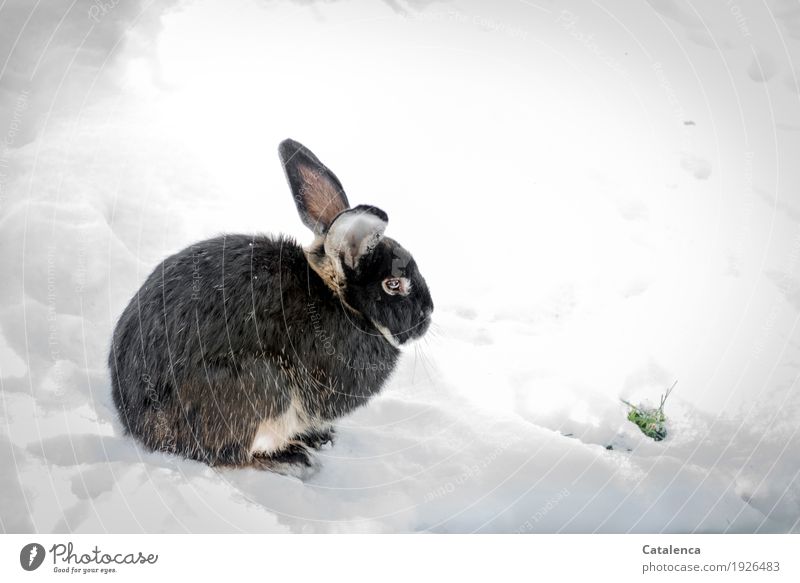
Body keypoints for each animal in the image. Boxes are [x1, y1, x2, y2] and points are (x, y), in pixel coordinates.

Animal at [109, 138, 434, 474]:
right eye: (393, 284)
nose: (428, 315)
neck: (339, 300)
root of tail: (142, 426)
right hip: (263, 383)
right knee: (229, 454)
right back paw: (290, 458)